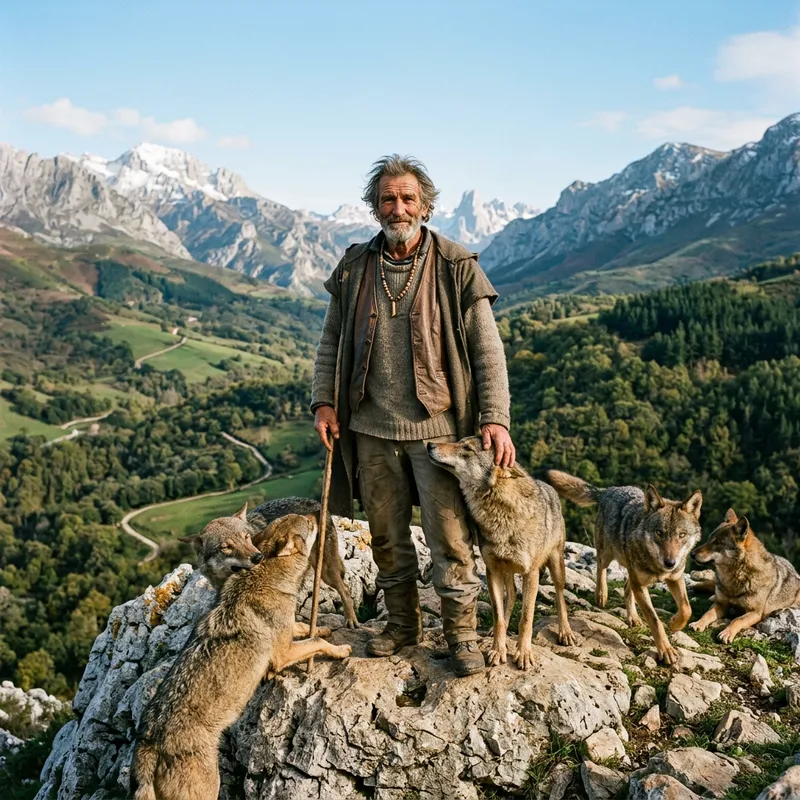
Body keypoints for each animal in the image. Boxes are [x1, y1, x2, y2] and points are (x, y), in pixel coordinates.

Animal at [133, 513, 351, 800]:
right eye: (309, 524)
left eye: (248, 538)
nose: (317, 513)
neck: (267, 577)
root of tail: (149, 746)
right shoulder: (283, 653)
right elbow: (317, 641)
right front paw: (341, 649)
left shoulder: (287, 629)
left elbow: (306, 627)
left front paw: (326, 626)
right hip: (209, 788)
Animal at [179, 497, 358, 628]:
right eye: (226, 547)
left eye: (246, 537)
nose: (258, 557)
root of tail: (319, 504)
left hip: (326, 572)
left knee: (345, 590)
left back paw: (350, 620)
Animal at [427, 436, 577, 671]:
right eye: (459, 441)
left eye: (467, 448)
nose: (429, 445)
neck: (501, 514)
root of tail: (549, 488)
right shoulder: (492, 571)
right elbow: (498, 616)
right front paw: (498, 650)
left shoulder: (531, 574)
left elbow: (526, 619)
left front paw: (523, 654)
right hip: (506, 571)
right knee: (512, 594)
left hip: (556, 565)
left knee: (560, 597)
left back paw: (565, 632)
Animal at [544, 470, 702, 665]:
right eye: (659, 533)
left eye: (682, 535)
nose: (670, 563)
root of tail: (609, 489)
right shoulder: (640, 583)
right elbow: (655, 620)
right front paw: (665, 650)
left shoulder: (675, 578)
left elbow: (687, 609)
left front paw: (674, 624)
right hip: (608, 554)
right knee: (601, 568)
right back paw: (601, 595)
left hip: (631, 571)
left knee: (627, 587)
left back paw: (633, 617)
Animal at [689, 508, 800, 643]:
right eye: (709, 539)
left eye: (718, 542)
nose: (691, 554)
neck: (736, 577)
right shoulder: (721, 604)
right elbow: (707, 614)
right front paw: (698, 623)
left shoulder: (755, 613)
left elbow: (737, 620)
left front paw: (726, 633)